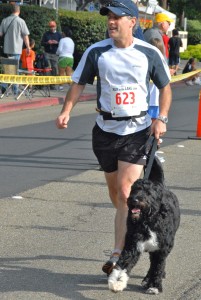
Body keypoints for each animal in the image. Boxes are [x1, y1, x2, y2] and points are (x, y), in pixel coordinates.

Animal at [108, 157, 181, 296]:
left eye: (148, 192)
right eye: (134, 189)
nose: (134, 200)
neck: (148, 221)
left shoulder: (161, 249)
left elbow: (158, 267)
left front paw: (155, 286)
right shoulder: (132, 245)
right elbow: (123, 264)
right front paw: (117, 282)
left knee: (156, 265)